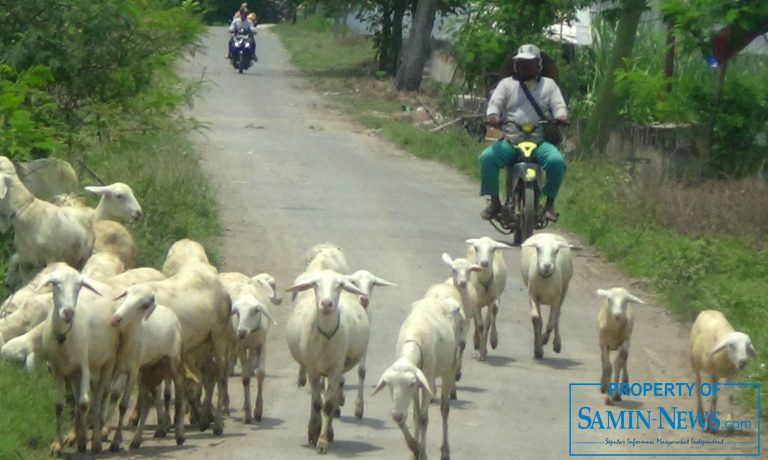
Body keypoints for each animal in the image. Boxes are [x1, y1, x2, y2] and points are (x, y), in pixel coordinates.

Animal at [109, 286, 187, 452]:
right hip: (148, 369)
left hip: (174, 362)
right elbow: (113, 395)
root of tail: (170, 312)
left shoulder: (132, 370)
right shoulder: (119, 368)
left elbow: (123, 405)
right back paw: (137, 439)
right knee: (147, 400)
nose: (116, 319)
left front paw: (116, 441)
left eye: (144, 305)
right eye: (126, 296)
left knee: (178, 397)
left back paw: (179, 435)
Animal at [286, 268, 370, 454]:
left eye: (339, 285)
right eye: (315, 284)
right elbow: (317, 403)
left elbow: (329, 405)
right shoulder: (311, 368)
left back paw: (329, 432)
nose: (326, 303)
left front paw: (323, 440)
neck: (325, 337)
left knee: (333, 399)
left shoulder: (335, 369)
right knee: (314, 400)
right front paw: (314, 432)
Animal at [374, 294, 462, 460]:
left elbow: (423, 418)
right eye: (388, 384)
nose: (396, 415)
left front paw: (422, 452)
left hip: (450, 366)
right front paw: (413, 448)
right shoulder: (417, 386)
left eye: (409, 383)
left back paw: (445, 451)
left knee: (444, 409)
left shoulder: (424, 382)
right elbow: (413, 417)